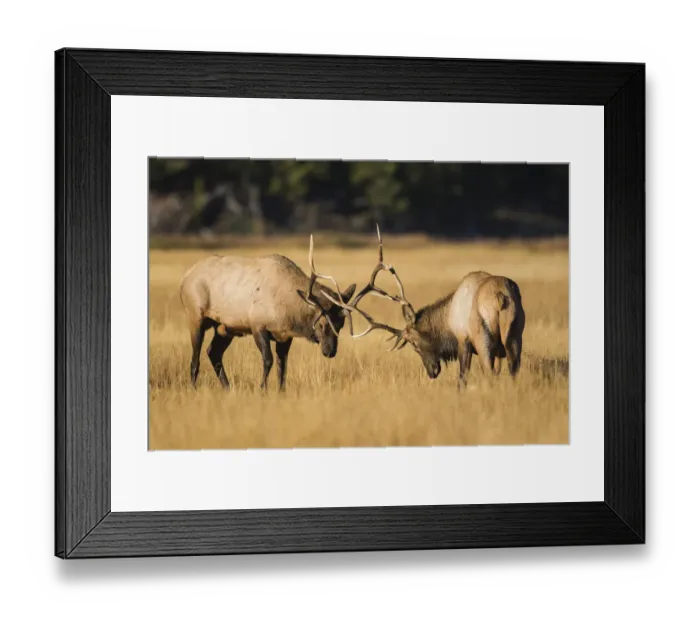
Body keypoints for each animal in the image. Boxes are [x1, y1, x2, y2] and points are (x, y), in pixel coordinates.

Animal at [179, 236, 356, 392]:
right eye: (320, 323)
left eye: (341, 325)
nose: (330, 351)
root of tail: (185, 278)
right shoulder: (257, 326)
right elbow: (268, 360)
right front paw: (262, 389)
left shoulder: (285, 336)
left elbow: (282, 366)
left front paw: (281, 392)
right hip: (195, 317)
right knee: (195, 359)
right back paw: (194, 389)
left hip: (224, 328)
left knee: (213, 352)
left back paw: (228, 389)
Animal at [321, 225, 525, 389]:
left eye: (414, 344)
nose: (432, 372)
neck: (447, 320)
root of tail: (501, 297)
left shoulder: (464, 340)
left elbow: (462, 379)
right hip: (514, 335)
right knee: (514, 371)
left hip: (482, 337)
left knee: (490, 372)